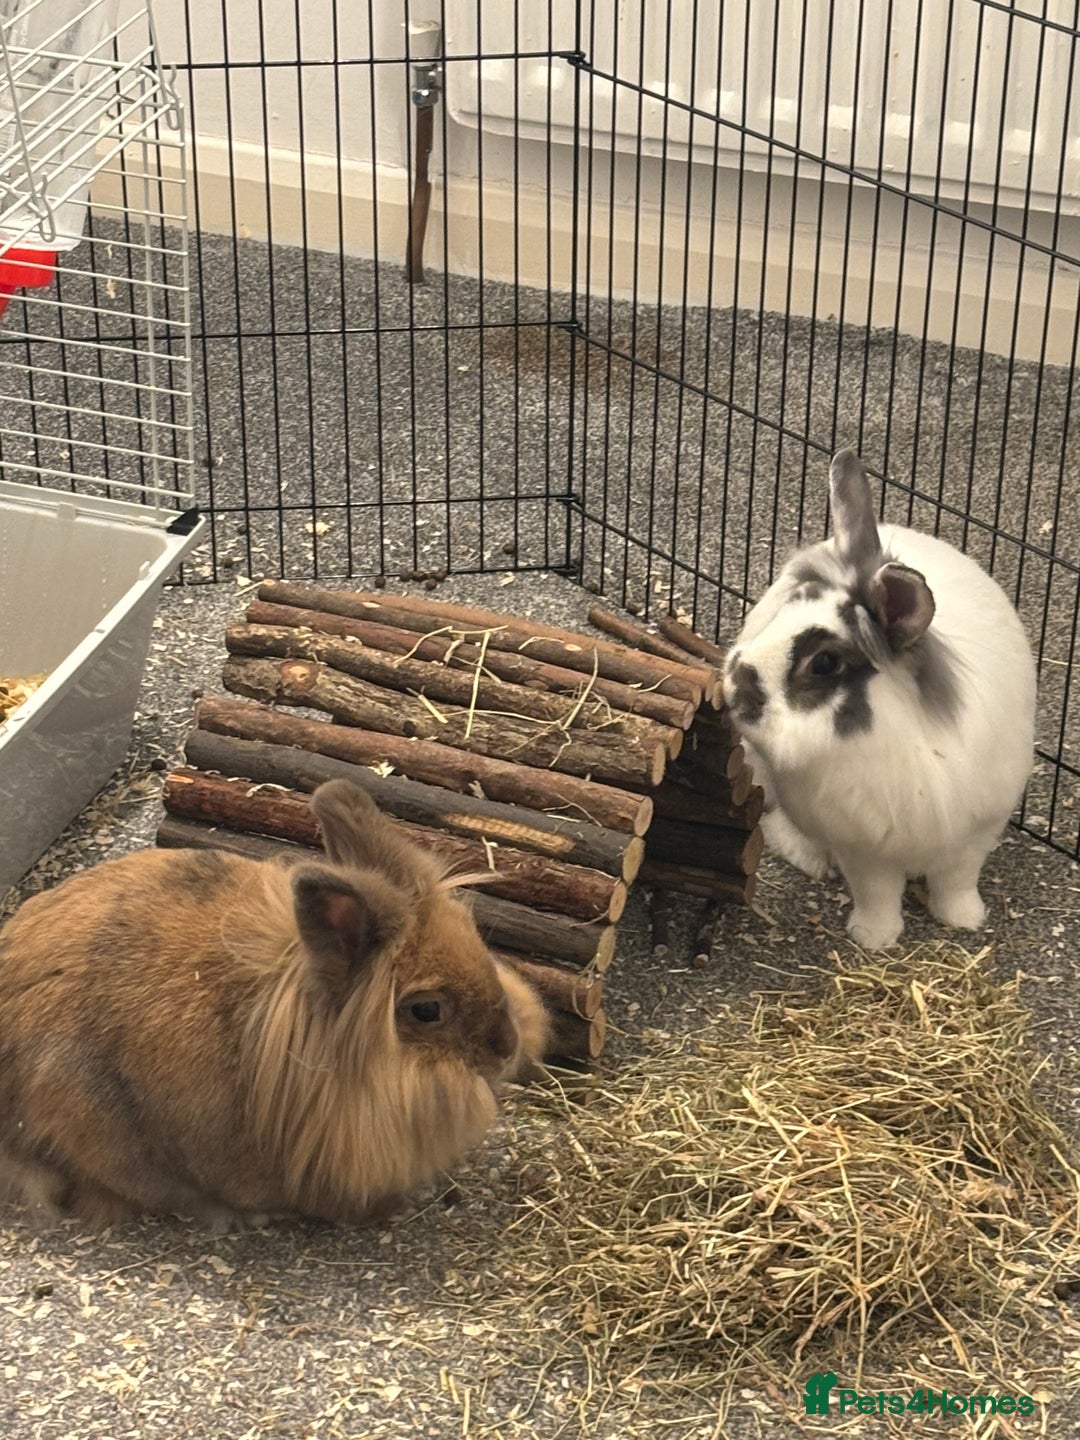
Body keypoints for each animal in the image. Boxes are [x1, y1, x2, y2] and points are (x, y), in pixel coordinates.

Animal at [722, 447, 1036, 952]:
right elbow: (877, 892)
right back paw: (809, 858)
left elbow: (956, 882)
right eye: (793, 604)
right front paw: (875, 938)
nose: (733, 684)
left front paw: (965, 920)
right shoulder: (863, 847)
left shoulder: (974, 834)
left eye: (824, 663)